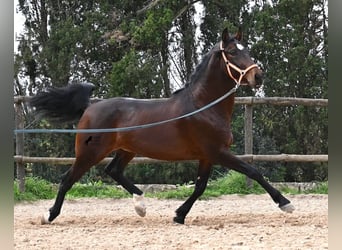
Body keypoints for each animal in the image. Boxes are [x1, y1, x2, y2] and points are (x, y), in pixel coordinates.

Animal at [30, 27, 294, 225]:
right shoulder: (218, 152)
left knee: (113, 171)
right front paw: (285, 203)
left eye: (246, 50)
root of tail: (91, 106)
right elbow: (253, 171)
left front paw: (179, 215)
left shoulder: (207, 155)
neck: (204, 106)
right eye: (231, 52)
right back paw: (48, 215)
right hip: (90, 152)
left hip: (126, 150)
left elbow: (200, 186)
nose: (258, 76)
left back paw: (141, 205)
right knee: (68, 178)